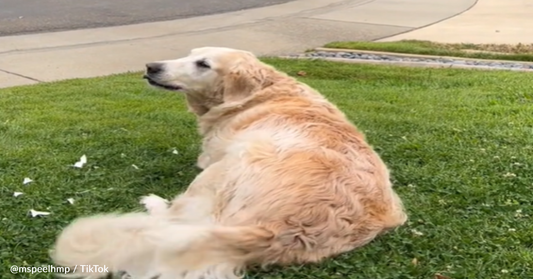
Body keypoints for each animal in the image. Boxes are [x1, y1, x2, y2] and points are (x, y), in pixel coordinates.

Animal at [51, 47, 408, 278]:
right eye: (190, 55)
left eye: (203, 64)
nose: (151, 66)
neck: (257, 95)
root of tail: (273, 230)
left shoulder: (210, 157)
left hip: (226, 167)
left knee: (178, 218)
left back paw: (154, 203)